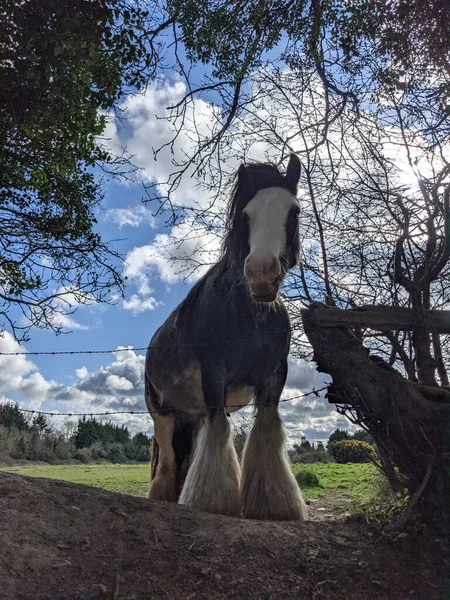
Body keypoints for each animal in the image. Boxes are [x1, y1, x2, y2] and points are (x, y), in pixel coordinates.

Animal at [146, 155, 308, 520]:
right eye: (246, 215)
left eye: (293, 211)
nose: (261, 274)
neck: (250, 316)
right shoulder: (213, 375)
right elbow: (219, 432)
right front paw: (212, 503)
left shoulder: (274, 377)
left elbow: (265, 432)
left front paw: (275, 506)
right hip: (162, 415)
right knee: (167, 462)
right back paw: (162, 499)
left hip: (191, 418)